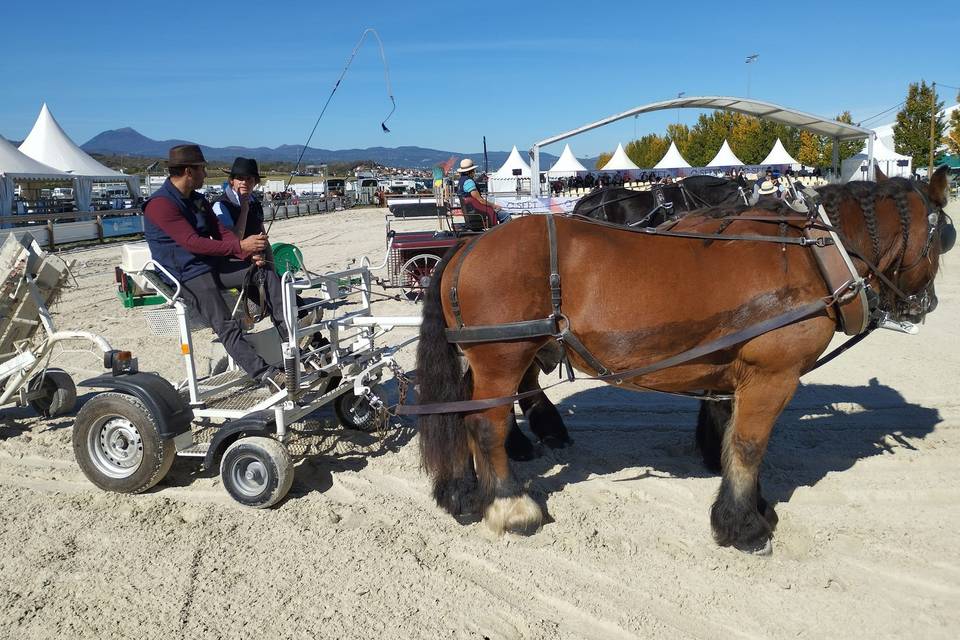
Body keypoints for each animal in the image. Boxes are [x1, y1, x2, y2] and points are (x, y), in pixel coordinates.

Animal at [414, 168, 952, 552]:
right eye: (943, 235)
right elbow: (751, 445)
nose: (926, 304)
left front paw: (752, 504)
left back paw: (462, 491)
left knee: (463, 416)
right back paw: (511, 506)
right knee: (486, 425)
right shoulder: (772, 376)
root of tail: (469, 244)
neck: (810, 256)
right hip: (502, 358)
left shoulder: (738, 375)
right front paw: (742, 526)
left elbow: (732, 437)